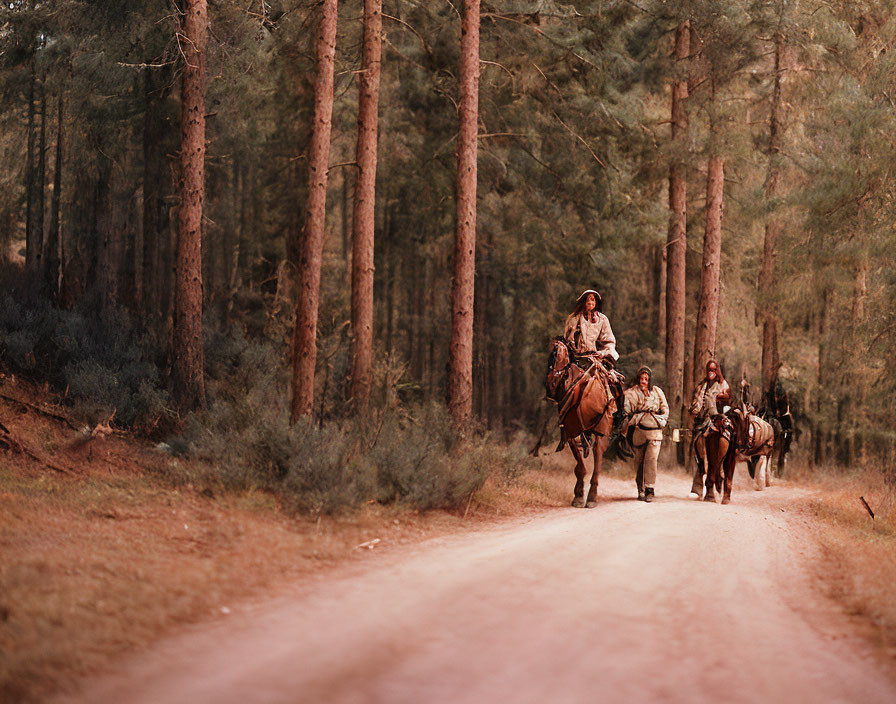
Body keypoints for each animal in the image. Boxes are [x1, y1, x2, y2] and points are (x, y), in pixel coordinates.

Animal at [544, 338, 620, 508]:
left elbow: (597, 463)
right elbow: (579, 466)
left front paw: (590, 496)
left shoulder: (600, 431)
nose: (550, 385)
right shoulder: (571, 432)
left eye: (557, 355)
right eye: (549, 356)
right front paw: (578, 495)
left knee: (598, 459)